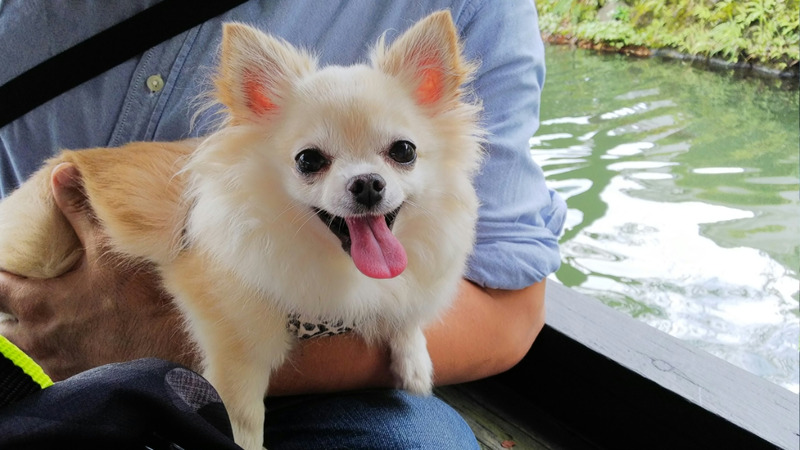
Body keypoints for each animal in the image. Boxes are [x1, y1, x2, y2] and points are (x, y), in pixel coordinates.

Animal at [0, 11, 482, 450]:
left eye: (404, 151)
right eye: (309, 160)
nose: (366, 183)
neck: (335, 260)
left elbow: (405, 309)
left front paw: (414, 361)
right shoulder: (237, 342)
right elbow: (243, 416)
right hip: (41, 243)